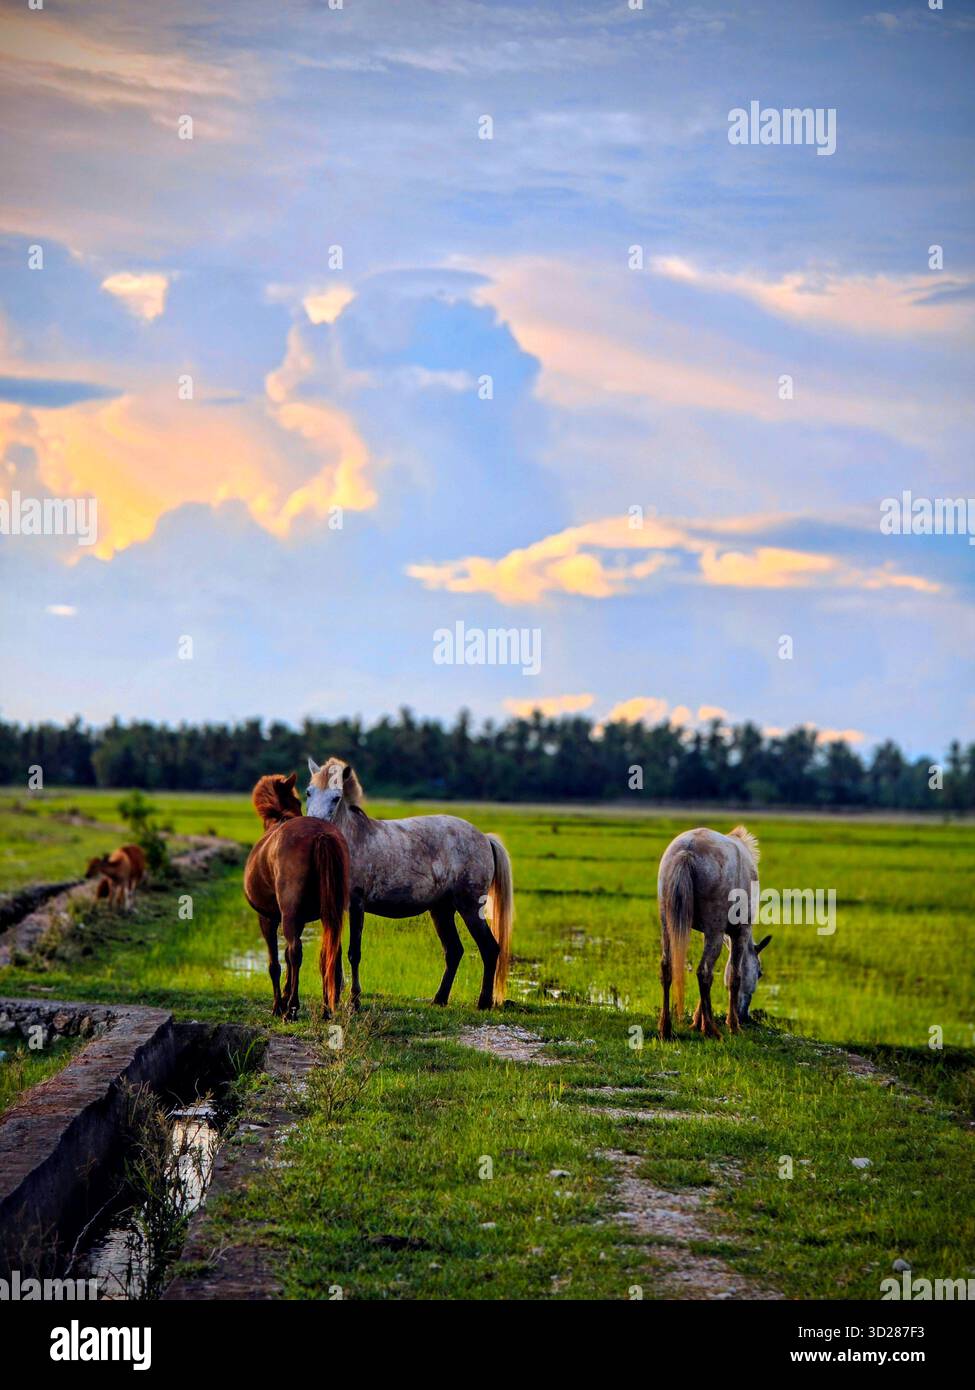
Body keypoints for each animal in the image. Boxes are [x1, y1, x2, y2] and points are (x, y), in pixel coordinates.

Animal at [243, 775, 350, 1019]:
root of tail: (321, 835)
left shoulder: (269, 917)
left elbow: (276, 962)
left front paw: (278, 1004)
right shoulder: (298, 919)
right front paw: (284, 996)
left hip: (288, 914)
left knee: (295, 951)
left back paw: (291, 1008)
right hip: (328, 912)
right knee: (331, 952)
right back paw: (327, 1007)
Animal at [305, 756, 514, 1011]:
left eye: (336, 798)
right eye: (308, 792)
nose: (314, 829)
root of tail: (485, 837)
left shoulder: (356, 905)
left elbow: (354, 953)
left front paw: (354, 1001)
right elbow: (334, 952)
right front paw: (333, 999)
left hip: (471, 907)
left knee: (490, 948)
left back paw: (483, 1002)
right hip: (441, 910)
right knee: (454, 951)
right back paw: (439, 999)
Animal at [657, 825, 771, 1041]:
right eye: (760, 973)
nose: (745, 1016)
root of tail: (687, 852)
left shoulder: (707, 933)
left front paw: (696, 1021)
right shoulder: (740, 931)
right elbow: (735, 975)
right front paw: (733, 1025)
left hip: (667, 924)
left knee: (668, 968)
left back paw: (665, 1028)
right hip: (716, 930)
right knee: (704, 972)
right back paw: (712, 1030)